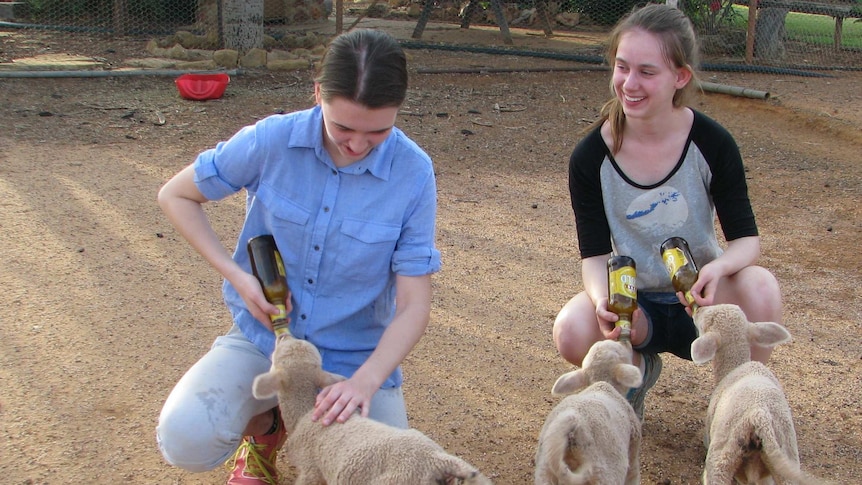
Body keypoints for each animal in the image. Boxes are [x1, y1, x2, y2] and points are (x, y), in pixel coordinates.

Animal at [536, 336, 644, 484]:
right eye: (619, 350)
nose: (625, 341)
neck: (602, 384)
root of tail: (571, 423)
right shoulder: (634, 445)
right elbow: (633, 476)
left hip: (545, 471)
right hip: (606, 474)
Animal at [688, 302, 832, 484]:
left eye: (707, 321)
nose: (698, 309)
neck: (735, 366)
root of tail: (759, 416)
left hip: (721, 457)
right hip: (785, 456)